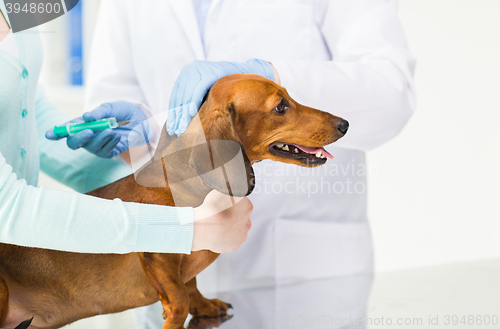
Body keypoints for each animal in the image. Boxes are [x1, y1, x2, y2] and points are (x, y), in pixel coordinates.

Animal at [0, 74, 348, 328]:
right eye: (280, 106)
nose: (344, 124)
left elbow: (191, 284)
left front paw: (205, 305)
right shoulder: (158, 255)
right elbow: (179, 298)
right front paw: (176, 317)